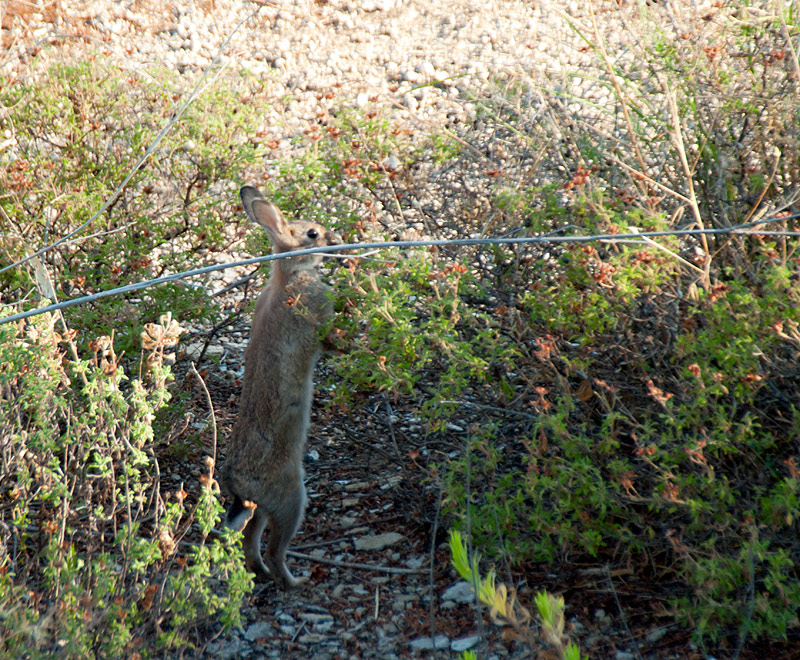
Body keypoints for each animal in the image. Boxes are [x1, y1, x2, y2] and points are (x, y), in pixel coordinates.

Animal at [217, 183, 342, 592]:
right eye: (312, 234)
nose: (334, 240)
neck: (288, 275)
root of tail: (239, 485)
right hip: (290, 498)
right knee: (274, 548)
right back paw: (295, 581)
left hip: (261, 510)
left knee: (250, 544)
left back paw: (262, 575)